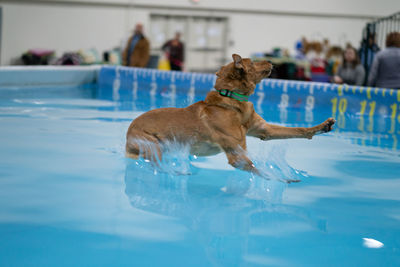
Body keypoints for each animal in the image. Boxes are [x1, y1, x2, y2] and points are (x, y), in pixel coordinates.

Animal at [125, 54, 334, 180]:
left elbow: (297, 130)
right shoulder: (237, 154)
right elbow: (258, 170)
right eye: (253, 62)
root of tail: (128, 133)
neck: (232, 101)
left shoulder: (264, 130)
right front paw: (279, 179)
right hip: (152, 145)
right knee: (156, 165)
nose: (269, 59)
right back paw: (176, 172)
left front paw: (322, 126)